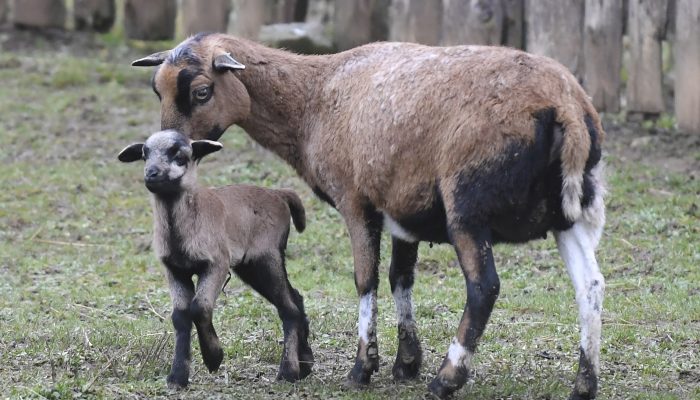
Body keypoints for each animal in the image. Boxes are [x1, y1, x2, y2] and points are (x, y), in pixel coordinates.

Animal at [117, 130, 312, 388]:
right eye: (144, 154)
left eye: (180, 155)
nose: (151, 174)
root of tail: (278, 194)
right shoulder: (174, 269)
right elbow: (180, 316)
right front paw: (177, 376)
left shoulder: (216, 263)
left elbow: (199, 307)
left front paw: (213, 357)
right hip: (250, 266)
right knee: (295, 298)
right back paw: (306, 363)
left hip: (266, 255)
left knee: (288, 307)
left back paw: (288, 372)